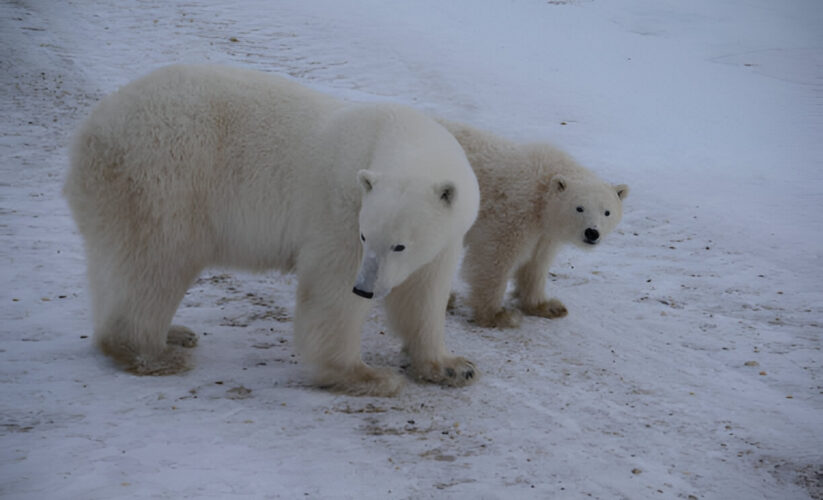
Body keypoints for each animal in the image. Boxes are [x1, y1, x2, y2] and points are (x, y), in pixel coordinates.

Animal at [66, 64, 482, 396]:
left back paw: (173, 334)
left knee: (118, 265)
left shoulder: (447, 236)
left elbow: (423, 294)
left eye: (400, 246)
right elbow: (332, 288)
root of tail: (93, 132)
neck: (395, 133)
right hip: (165, 176)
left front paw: (453, 367)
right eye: (366, 236)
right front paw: (366, 375)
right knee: (156, 263)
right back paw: (154, 352)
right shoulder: (340, 209)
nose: (365, 289)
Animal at [444, 120, 632, 328]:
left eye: (607, 212)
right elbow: (494, 258)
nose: (592, 233)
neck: (542, 190)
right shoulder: (513, 212)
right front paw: (498, 315)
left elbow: (536, 262)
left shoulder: (544, 231)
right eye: (579, 208)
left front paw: (547, 306)